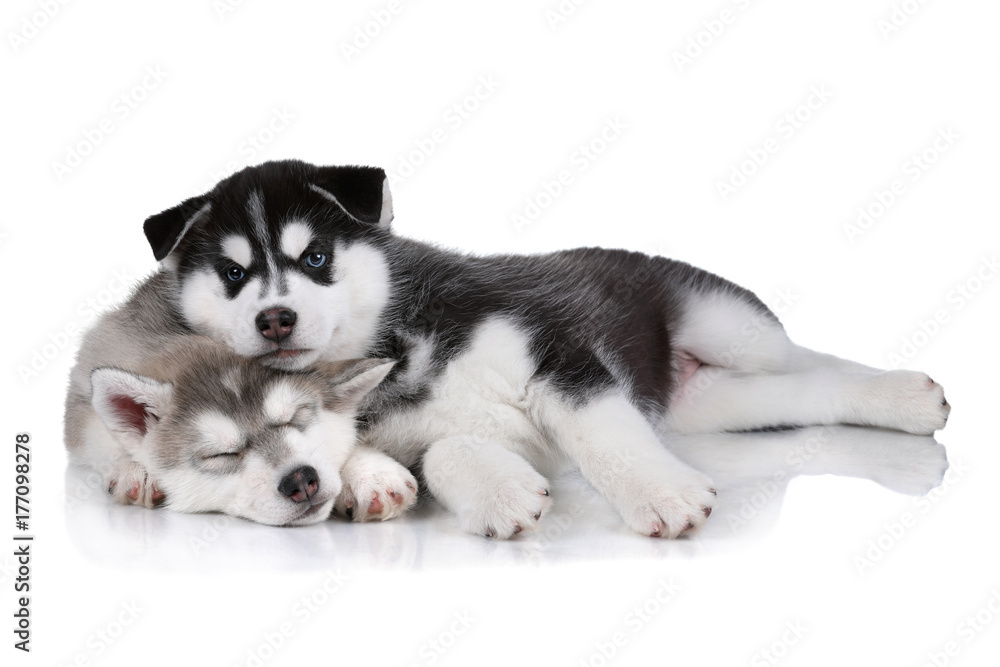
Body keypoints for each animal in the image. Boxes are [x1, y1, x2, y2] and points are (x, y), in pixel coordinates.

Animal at [68, 162, 944, 544]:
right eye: (233, 274)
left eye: (314, 257)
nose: (275, 318)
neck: (397, 339)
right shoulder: (389, 433)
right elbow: (443, 451)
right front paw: (501, 490)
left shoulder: (557, 348)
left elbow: (601, 431)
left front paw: (659, 495)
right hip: (709, 404)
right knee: (801, 393)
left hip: (732, 328)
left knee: (813, 359)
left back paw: (905, 390)